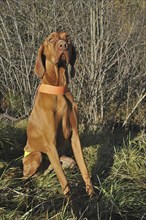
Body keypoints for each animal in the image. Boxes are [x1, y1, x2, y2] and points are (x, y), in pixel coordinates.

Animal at [22, 31, 93, 197]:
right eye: (50, 39)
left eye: (67, 38)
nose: (63, 45)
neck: (58, 90)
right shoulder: (50, 144)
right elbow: (64, 181)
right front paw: (71, 204)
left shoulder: (75, 136)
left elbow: (84, 168)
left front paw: (93, 195)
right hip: (37, 155)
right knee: (26, 176)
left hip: (61, 159)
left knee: (62, 166)